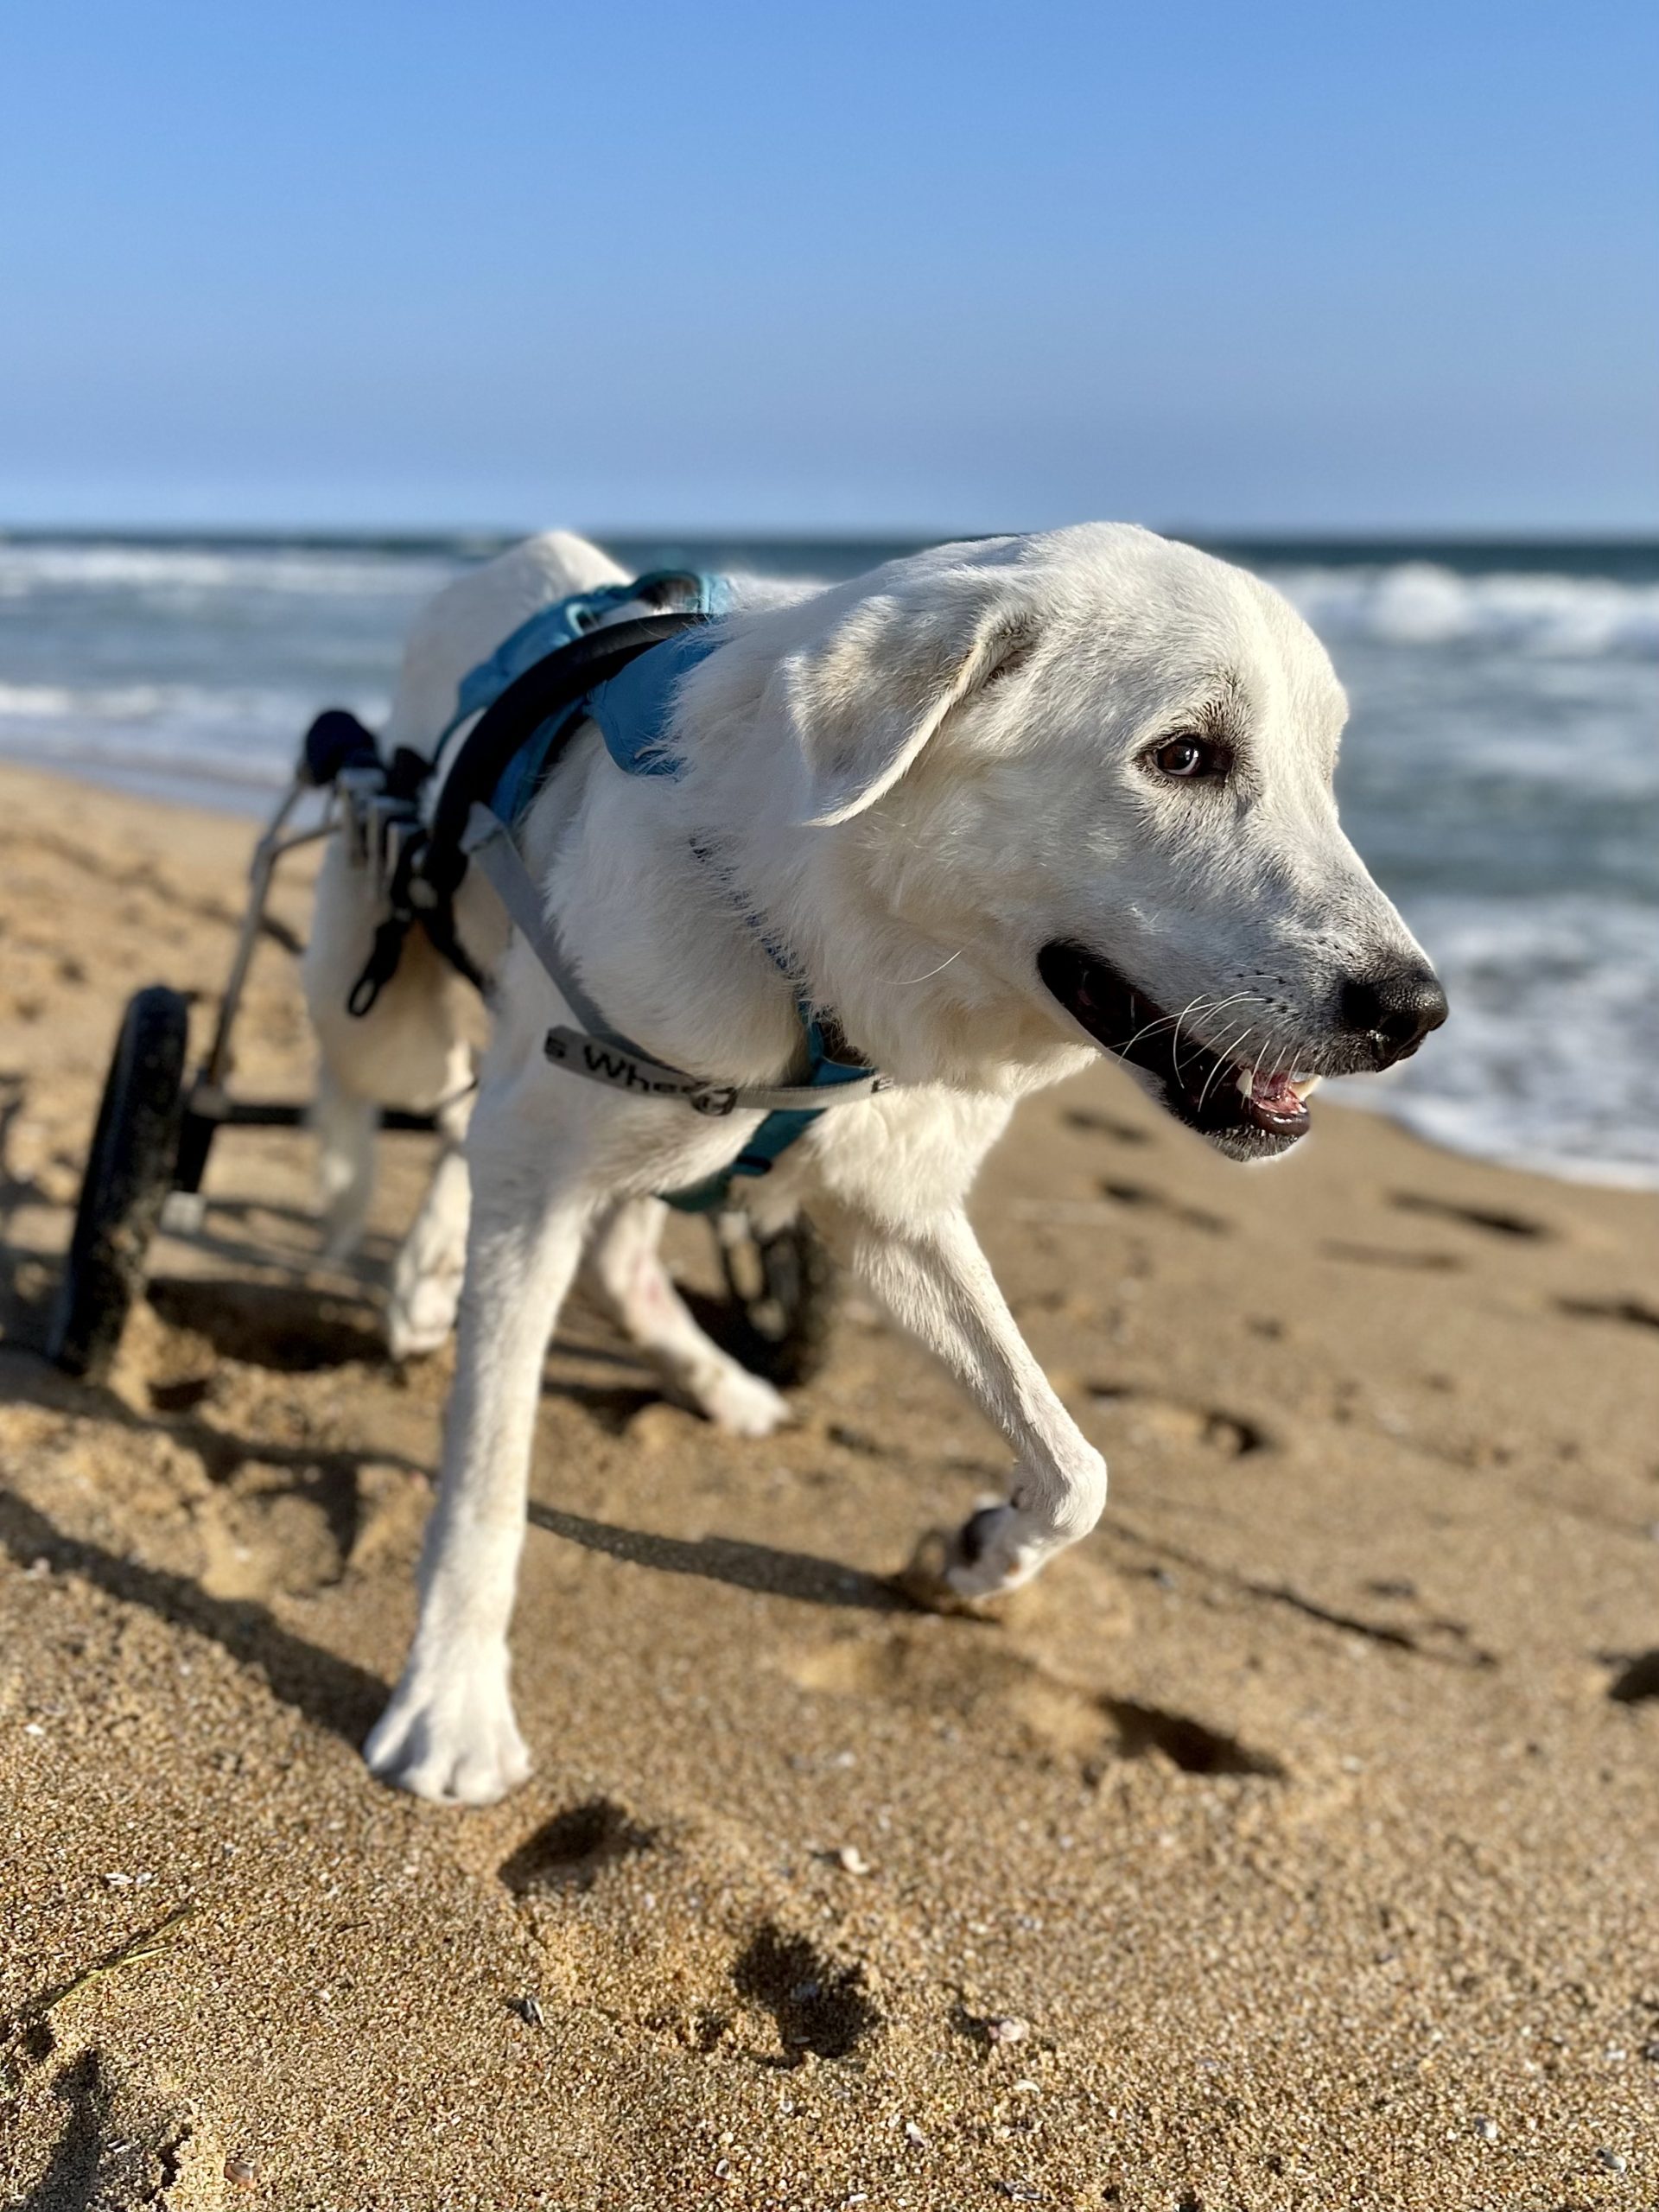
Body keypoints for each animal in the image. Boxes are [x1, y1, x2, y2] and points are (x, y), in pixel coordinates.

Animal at [305, 526, 1451, 1804]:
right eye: (1185, 755)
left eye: (1326, 772)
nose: (1414, 1014)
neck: (812, 948)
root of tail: (517, 556)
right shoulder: (550, 1162)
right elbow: (489, 1473)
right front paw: (450, 1703)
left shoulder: (891, 1210)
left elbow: (1077, 1466)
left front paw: (985, 1554)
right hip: (378, 991)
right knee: (421, 1107)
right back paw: (413, 1270)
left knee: (575, 1204)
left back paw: (701, 1376)